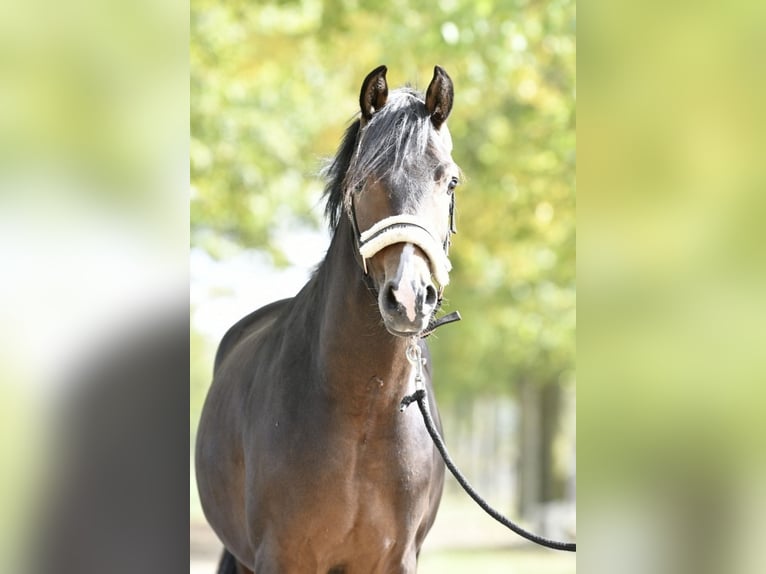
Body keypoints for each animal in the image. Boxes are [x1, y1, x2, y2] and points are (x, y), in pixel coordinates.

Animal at [198, 65, 462, 572]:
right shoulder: (280, 557)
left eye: (451, 181)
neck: (364, 410)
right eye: (361, 180)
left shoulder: (397, 560)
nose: (409, 297)